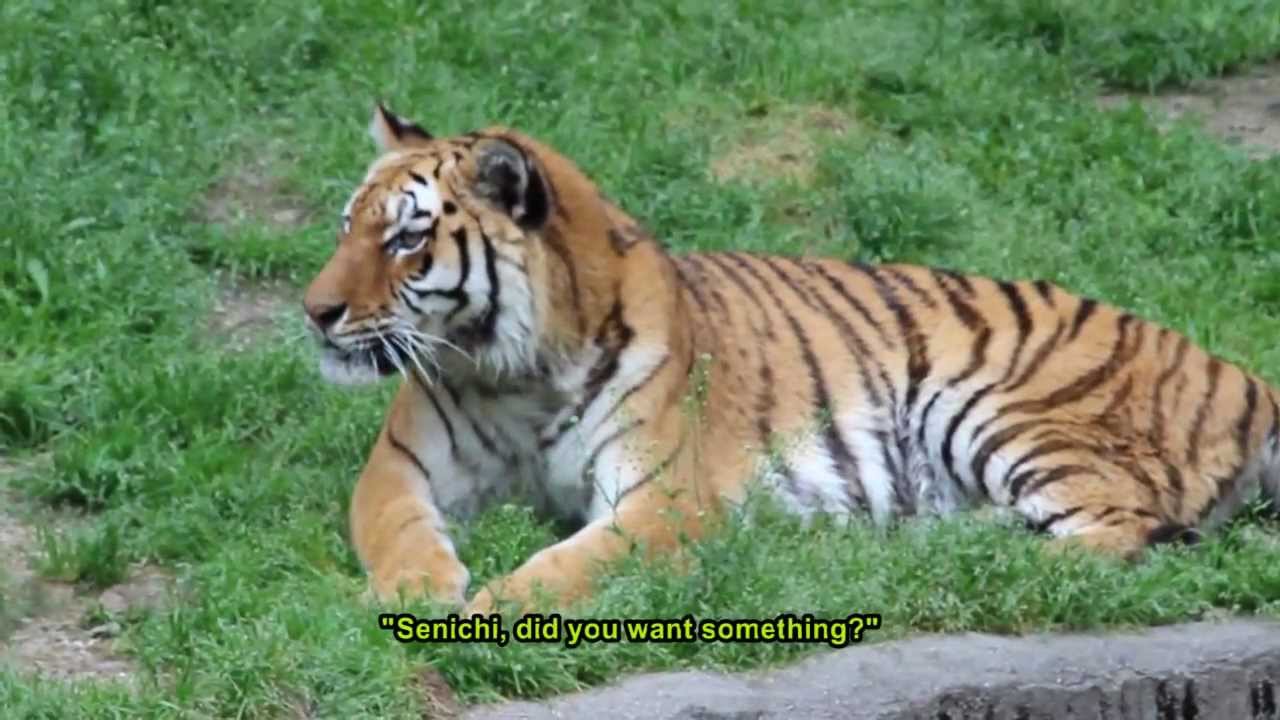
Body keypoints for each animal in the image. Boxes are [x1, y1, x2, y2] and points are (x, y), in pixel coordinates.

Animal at [301, 103, 1280, 616]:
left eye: (407, 240)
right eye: (350, 227)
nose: (314, 312)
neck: (512, 373)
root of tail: (1240, 372)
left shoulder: (660, 501)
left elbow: (568, 565)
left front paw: (491, 605)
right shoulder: (401, 464)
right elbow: (396, 527)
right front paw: (418, 592)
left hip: (999, 405)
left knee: (1126, 531)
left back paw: (959, 570)